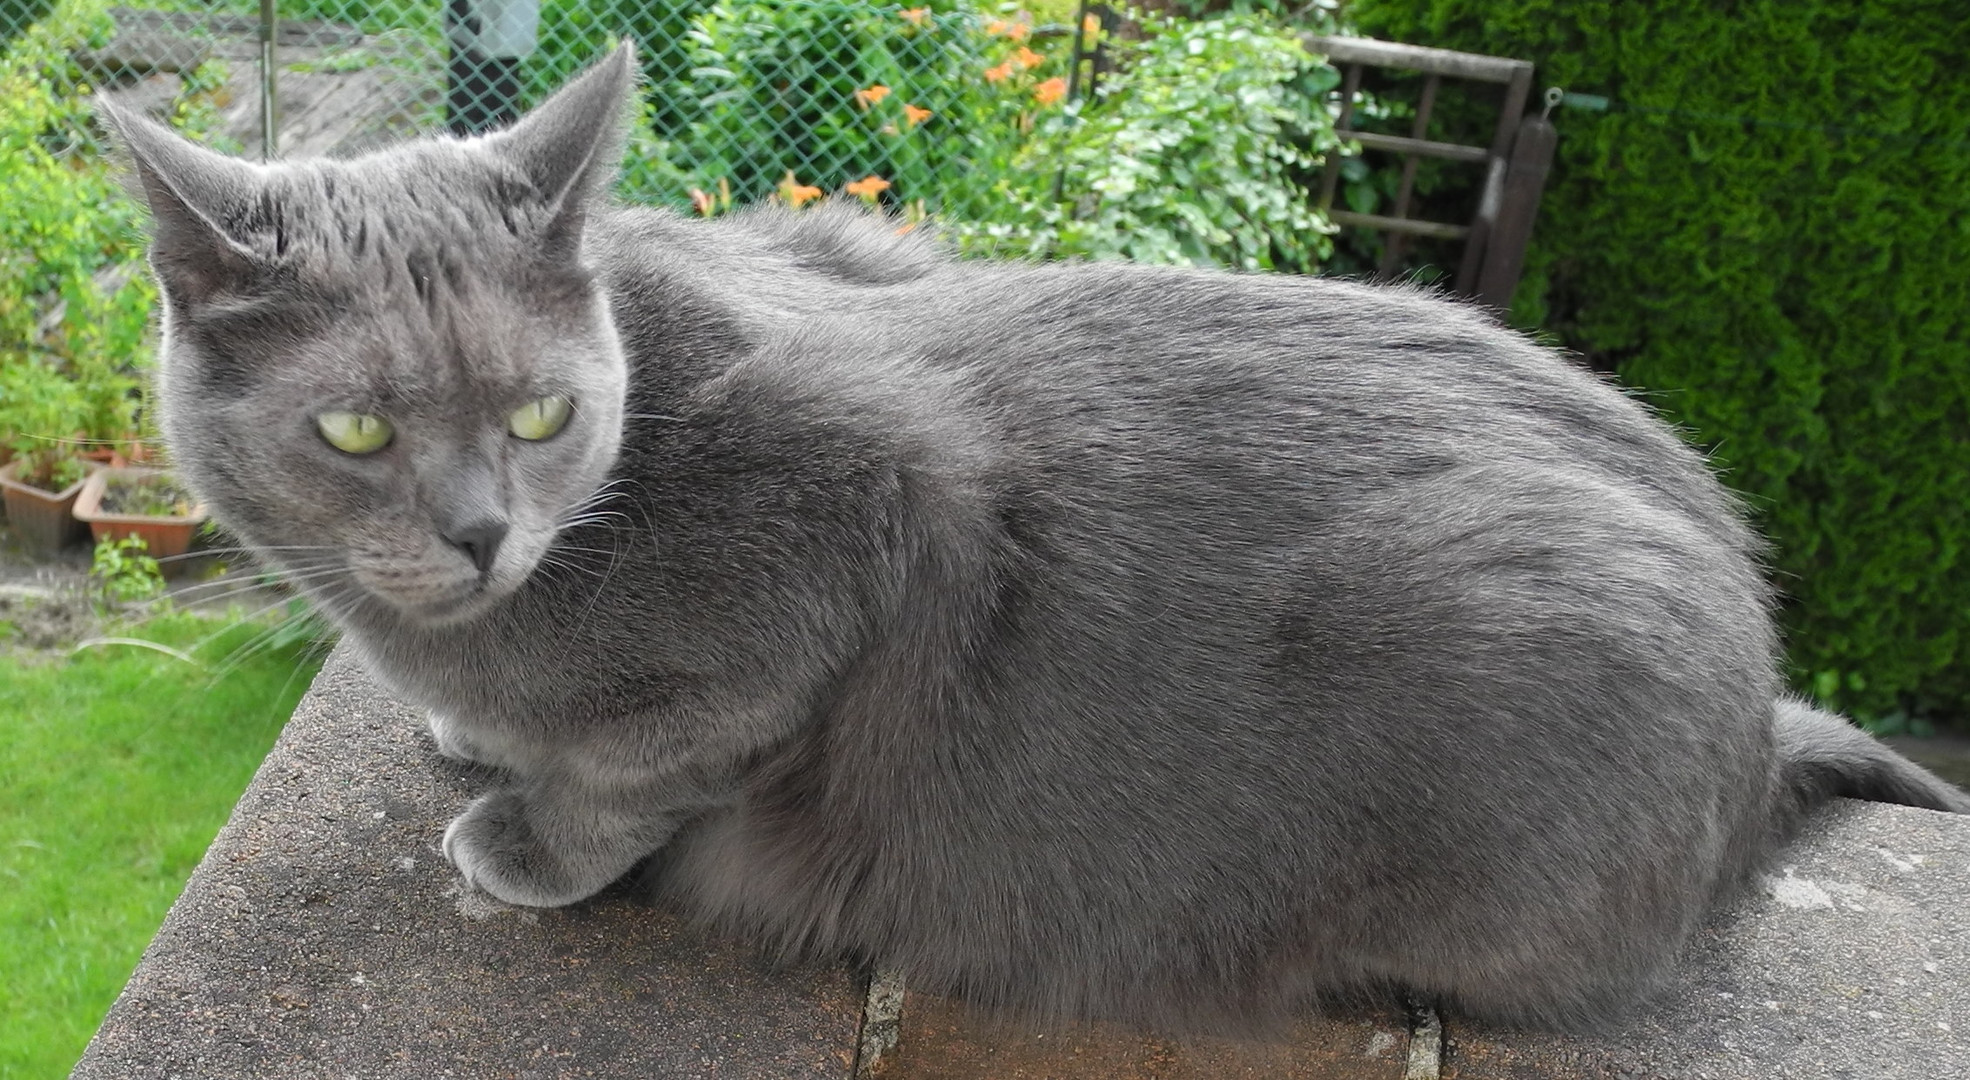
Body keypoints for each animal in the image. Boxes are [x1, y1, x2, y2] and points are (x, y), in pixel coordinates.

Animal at [103, 46, 1970, 1032]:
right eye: (359, 433)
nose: (485, 534)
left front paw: (525, 836)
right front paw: (462, 730)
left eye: (544, 417)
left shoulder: (869, 509)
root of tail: (1759, 715)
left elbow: (655, 764)